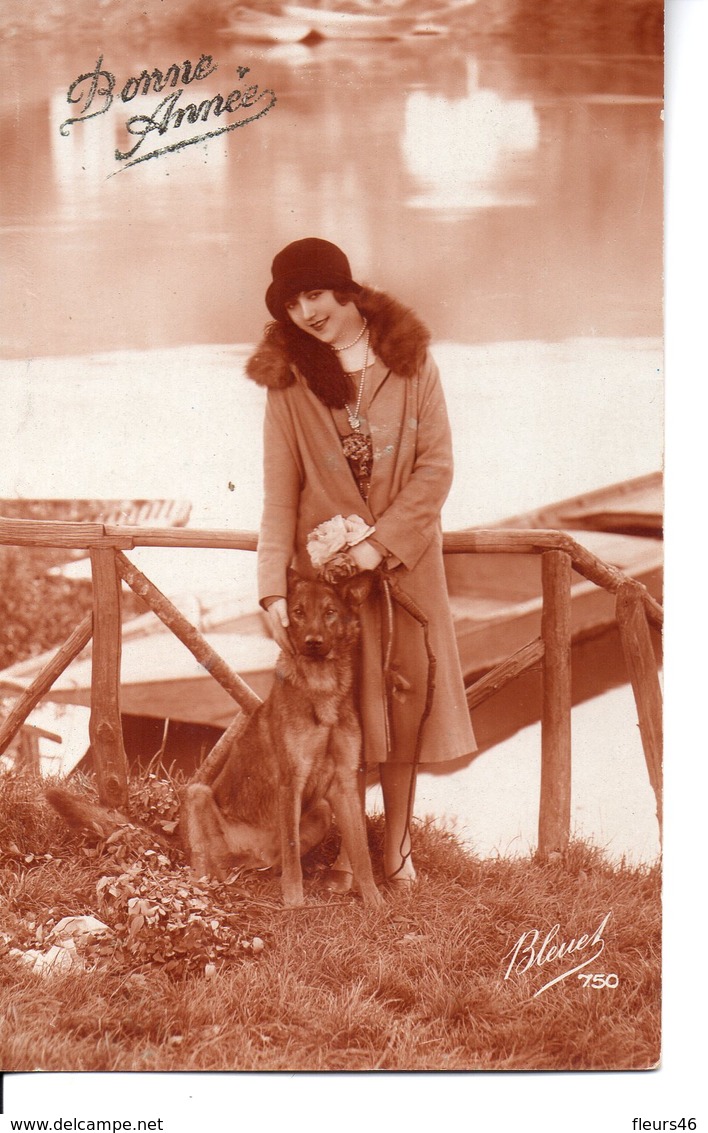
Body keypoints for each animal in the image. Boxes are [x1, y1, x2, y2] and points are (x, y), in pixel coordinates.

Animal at [48, 571, 380, 906]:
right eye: (298, 612)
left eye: (330, 612)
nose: (313, 643)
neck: (322, 692)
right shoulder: (292, 781)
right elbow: (293, 853)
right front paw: (295, 904)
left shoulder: (344, 783)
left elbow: (361, 851)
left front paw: (374, 901)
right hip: (197, 795)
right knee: (208, 871)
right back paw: (220, 890)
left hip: (320, 811)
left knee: (267, 865)